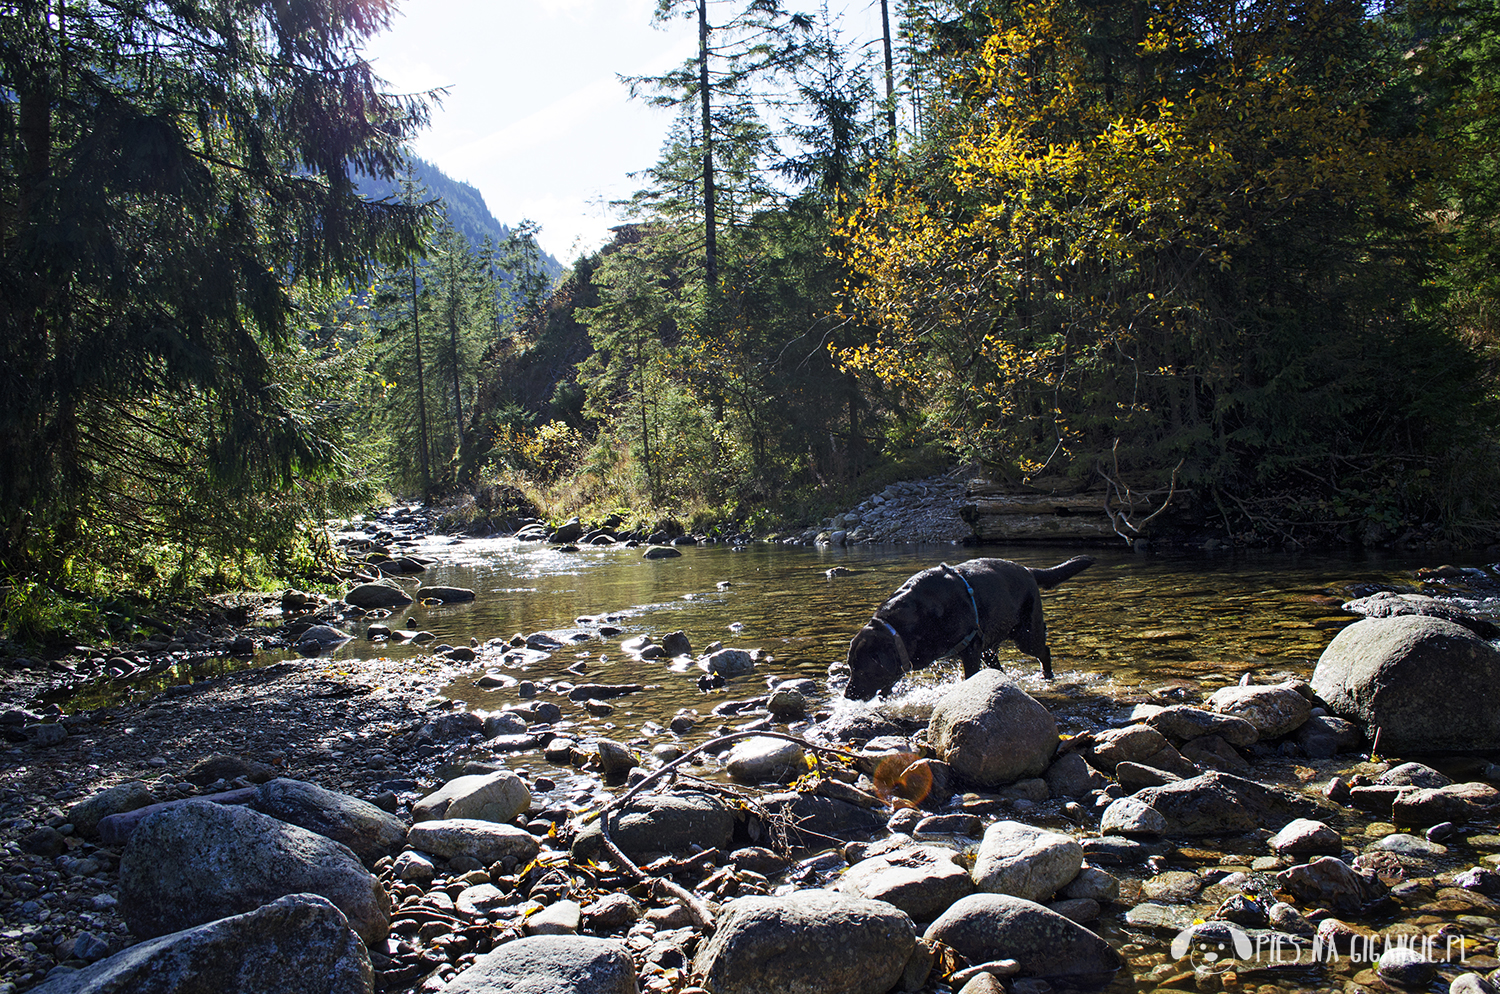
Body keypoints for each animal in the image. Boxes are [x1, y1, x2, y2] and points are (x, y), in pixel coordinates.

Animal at [840, 554, 1098, 704]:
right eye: (850, 667)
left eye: (862, 670)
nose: (847, 695)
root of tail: (1027, 569)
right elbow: (890, 680)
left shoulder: (971, 648)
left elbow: (970, 677)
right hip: (991, 645)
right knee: (998, 667)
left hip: (1026, 635)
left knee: (1044, 650)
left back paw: (1048, 676)